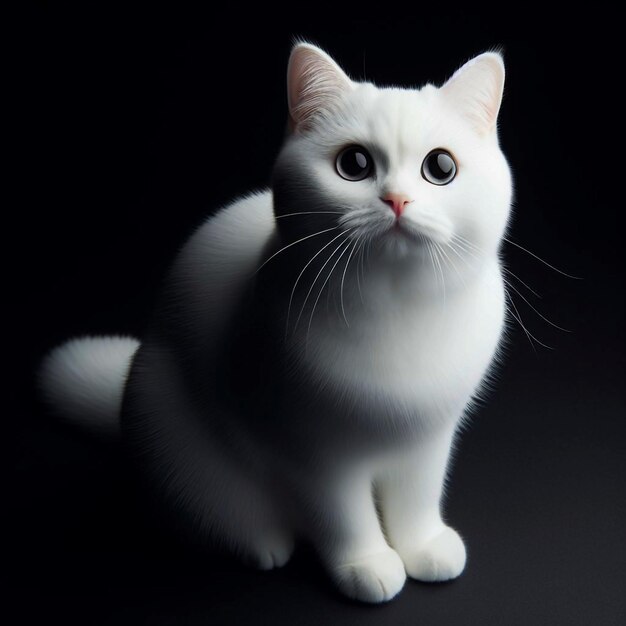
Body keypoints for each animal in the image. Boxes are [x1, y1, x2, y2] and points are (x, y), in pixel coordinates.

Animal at [39, 42, 510, 600]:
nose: (397, 200)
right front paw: (367, 564)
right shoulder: (309, 453)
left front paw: (422, 546)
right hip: (178, 441)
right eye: (354, 164)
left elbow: (417, 497)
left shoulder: (429, 438)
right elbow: (341, 516)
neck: (400, 307)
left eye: (440, 167)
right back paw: (260, 542)